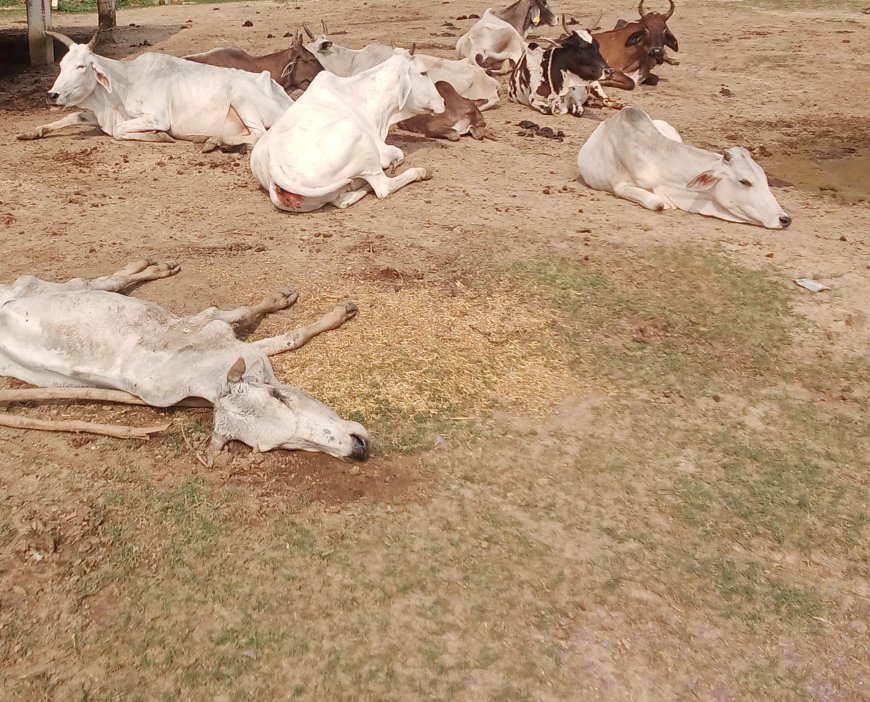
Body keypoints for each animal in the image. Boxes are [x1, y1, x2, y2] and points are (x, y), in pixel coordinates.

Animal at [0, 258, 372, 462]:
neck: (204, 373)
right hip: (41, 287)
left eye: (281, 396)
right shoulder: (227, 339)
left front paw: (286, 299)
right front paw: (336, 312)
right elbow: (286, 337)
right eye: (283, 445)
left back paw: (153, 266)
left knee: (101, 282)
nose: (357, 448)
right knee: (101, 282)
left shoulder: (210, 323)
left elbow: (239, 313)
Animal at [16, 32, 292, 151]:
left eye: (81, 66)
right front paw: (32, 132)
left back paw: (214, 141)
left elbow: (119, 131)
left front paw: (160, 137)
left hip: (240, 96)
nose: (52, 96)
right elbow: (73, 116)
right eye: (61, 65)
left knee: (259, 135)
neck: (124, 84)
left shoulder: (157, 117)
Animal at [250, 48, 442, 212]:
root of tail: (274, 163)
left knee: (343, 200)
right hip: (362, 145)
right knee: (383, 188)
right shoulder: (382, 151)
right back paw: (420, 172)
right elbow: (398, 154)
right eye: (423, 73)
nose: (442, 102)